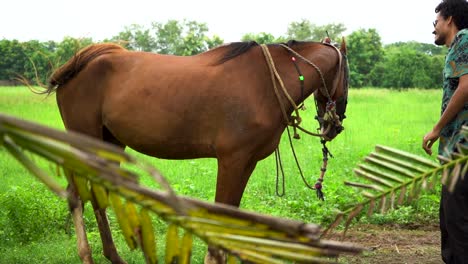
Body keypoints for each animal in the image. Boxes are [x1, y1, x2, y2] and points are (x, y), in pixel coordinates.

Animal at [44, 38, 348, 262]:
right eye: (346, 78)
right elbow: (222, 213)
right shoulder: (232, 160)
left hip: (110, 143)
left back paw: (112, 256)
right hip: (84, 139)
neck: (264, 84)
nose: (335, 126)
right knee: (78, 195)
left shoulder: (246, 162)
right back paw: (87, 255)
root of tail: (79, 65)